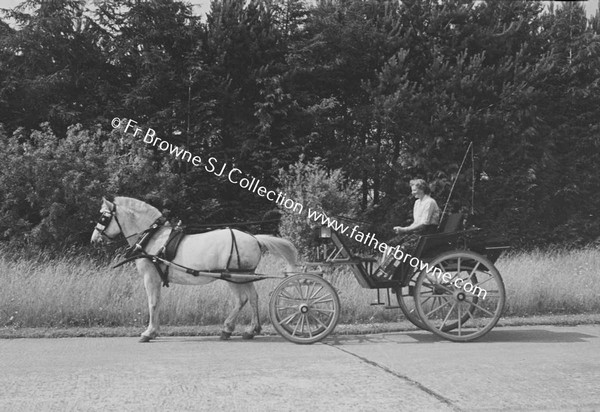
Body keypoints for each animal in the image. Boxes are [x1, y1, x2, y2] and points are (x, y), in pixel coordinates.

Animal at [90, 196, 298, 342]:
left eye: (103, 217)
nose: (94, 239)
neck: (152, 238)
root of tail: (254, 238)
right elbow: (157, 302)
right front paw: (155, 331)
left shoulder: (150, 277)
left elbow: (153, 303)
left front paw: (148, 332)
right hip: (244, 276)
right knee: (253, 298)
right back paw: (250, 330)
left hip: (234, 277)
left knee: (243, 299)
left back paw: (228, 329)